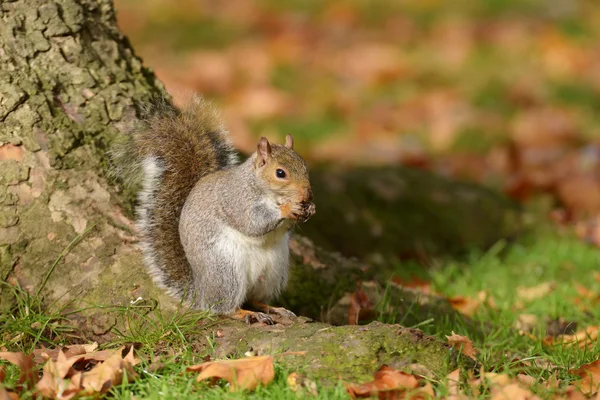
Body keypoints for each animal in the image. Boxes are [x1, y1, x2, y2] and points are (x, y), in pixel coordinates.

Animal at [110, 97, 316, 324]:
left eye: (305, 166)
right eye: (280, 173)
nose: (307, 195)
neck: (260, 186)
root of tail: (201, 292)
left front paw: (309, 209)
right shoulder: (236, 199)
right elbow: (252, 223)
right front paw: (288, 208)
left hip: (273, 272)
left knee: (254, 298)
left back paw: (273, 308)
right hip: (226, 271)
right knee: (224, 306)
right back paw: (245, 314)